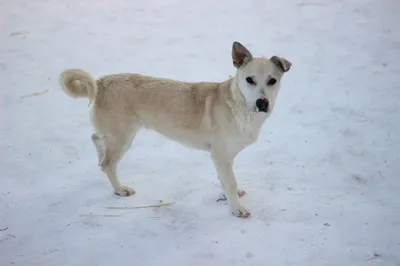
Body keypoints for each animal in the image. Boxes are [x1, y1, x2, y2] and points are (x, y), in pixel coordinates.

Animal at [59, 40, 290, 217]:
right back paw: (120, 189)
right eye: (249, 80)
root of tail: (101, 82)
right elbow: (230, 182)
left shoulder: (219, 157)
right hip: (123, 137)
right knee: (109, 162)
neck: (239, 106)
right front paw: (236, 209)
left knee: (96, 140)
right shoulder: (221, 155)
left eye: (272, 81)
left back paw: (100, 160)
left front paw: (229, 196)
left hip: (114, 134)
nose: (262, 103)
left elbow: (225, 181)